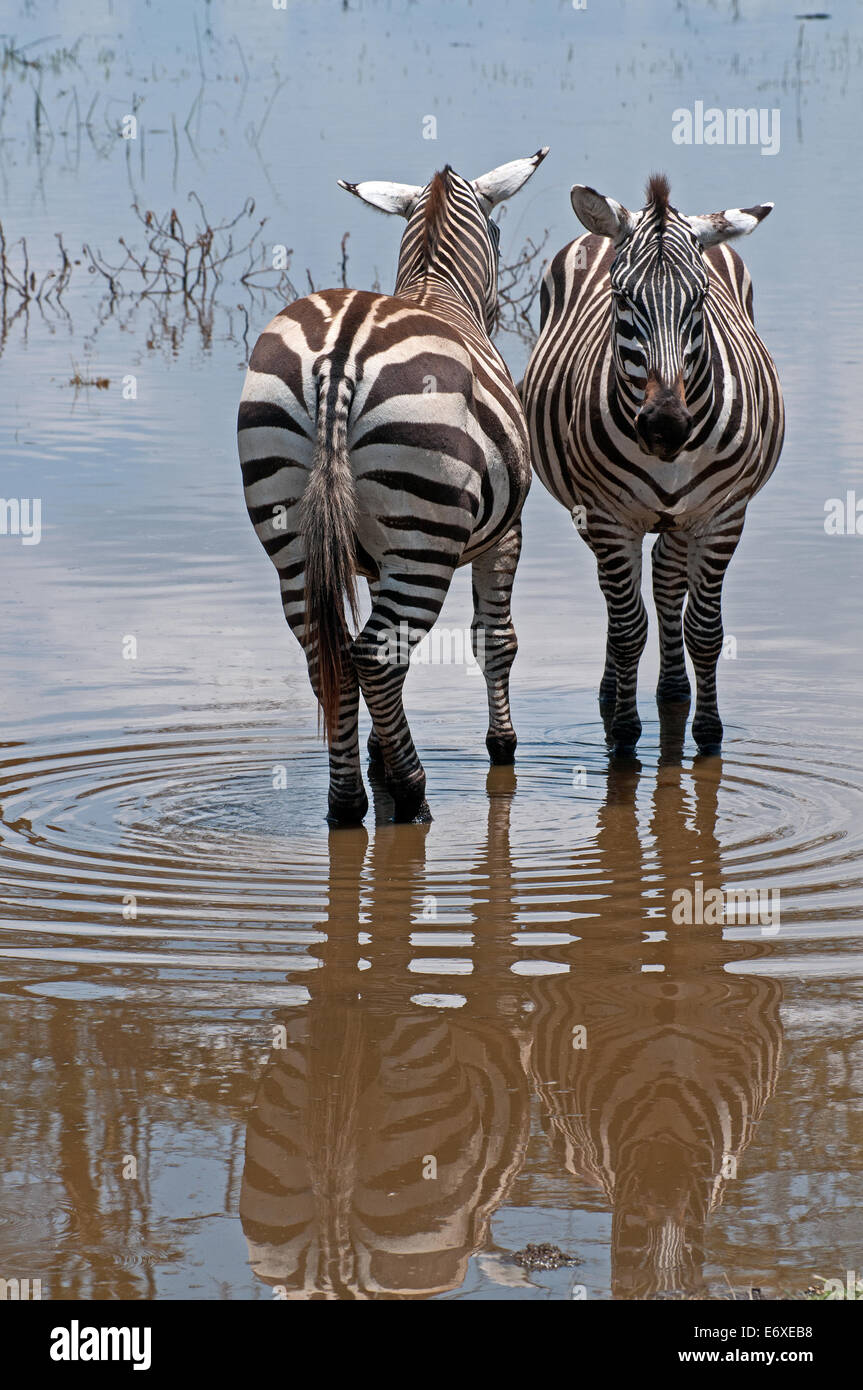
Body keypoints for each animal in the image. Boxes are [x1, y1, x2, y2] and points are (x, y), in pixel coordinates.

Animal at [236, 149, 547, 822]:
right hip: (425, 539)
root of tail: (339, 352)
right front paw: (502, 746)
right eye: (499, 233)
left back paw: (348, 802)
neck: (437, 289)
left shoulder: (375, 560)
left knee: (332, 658)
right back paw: (411, 795)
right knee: (374, 659)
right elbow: (496, 640)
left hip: (293, 536)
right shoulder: (505, 534)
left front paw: (379, 751)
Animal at [522, 177, 783, 756]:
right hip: (593, 512)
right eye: (622, 298)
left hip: (680, 518)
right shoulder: (607, 518)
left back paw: (674, 690)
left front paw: (707, 736)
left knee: (666, 579)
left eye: (701, 299)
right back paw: (614, 690)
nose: (665, 425)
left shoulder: (721, 516)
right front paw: (622, 736)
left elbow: (704, 631)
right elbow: (627, 630)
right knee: (626, 600)